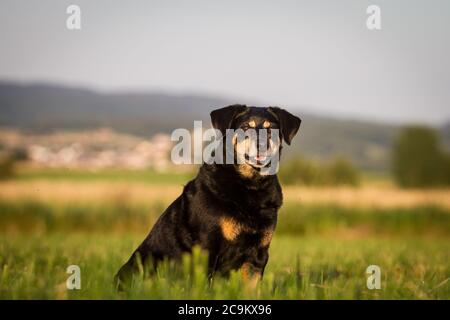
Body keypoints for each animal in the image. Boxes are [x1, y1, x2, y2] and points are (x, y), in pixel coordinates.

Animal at [114, 105, 300, 290]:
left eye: (272, 129)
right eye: (246, 127)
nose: (262, 144)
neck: (251, 185)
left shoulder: (258, 254)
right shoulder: (207, 248)